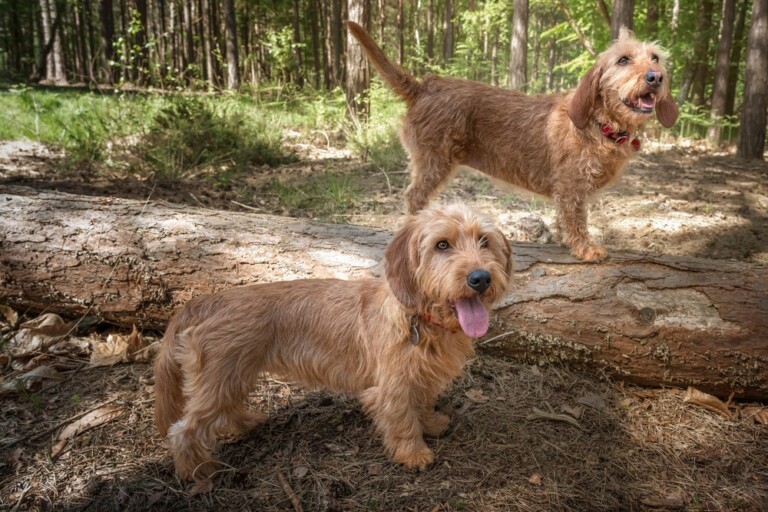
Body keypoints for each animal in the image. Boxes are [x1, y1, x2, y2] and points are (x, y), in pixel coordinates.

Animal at [153, 202, 512, 482]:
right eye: (442, 245)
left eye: (484, 241)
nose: (480, 278)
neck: (422, 319)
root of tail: (205, 301)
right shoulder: (391, 388)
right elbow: (402, 419)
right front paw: (413, 454)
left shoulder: (421, 379)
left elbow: (421, 404)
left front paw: (432, 423)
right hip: (220, 379)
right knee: (183, 431)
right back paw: (199, 471)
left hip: (233, 376)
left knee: (224, 411)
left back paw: (246, 423)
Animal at [348, 22, 680, 262]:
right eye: (623, 60)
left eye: (655, 58)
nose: (655, 77)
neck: (600, 124)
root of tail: (423, 87)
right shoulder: (571, 187)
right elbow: (577, 219)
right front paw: (586, 248)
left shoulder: (567, 191)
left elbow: (564, 218)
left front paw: (564, 239)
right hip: (433, 163)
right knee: (413, 197)